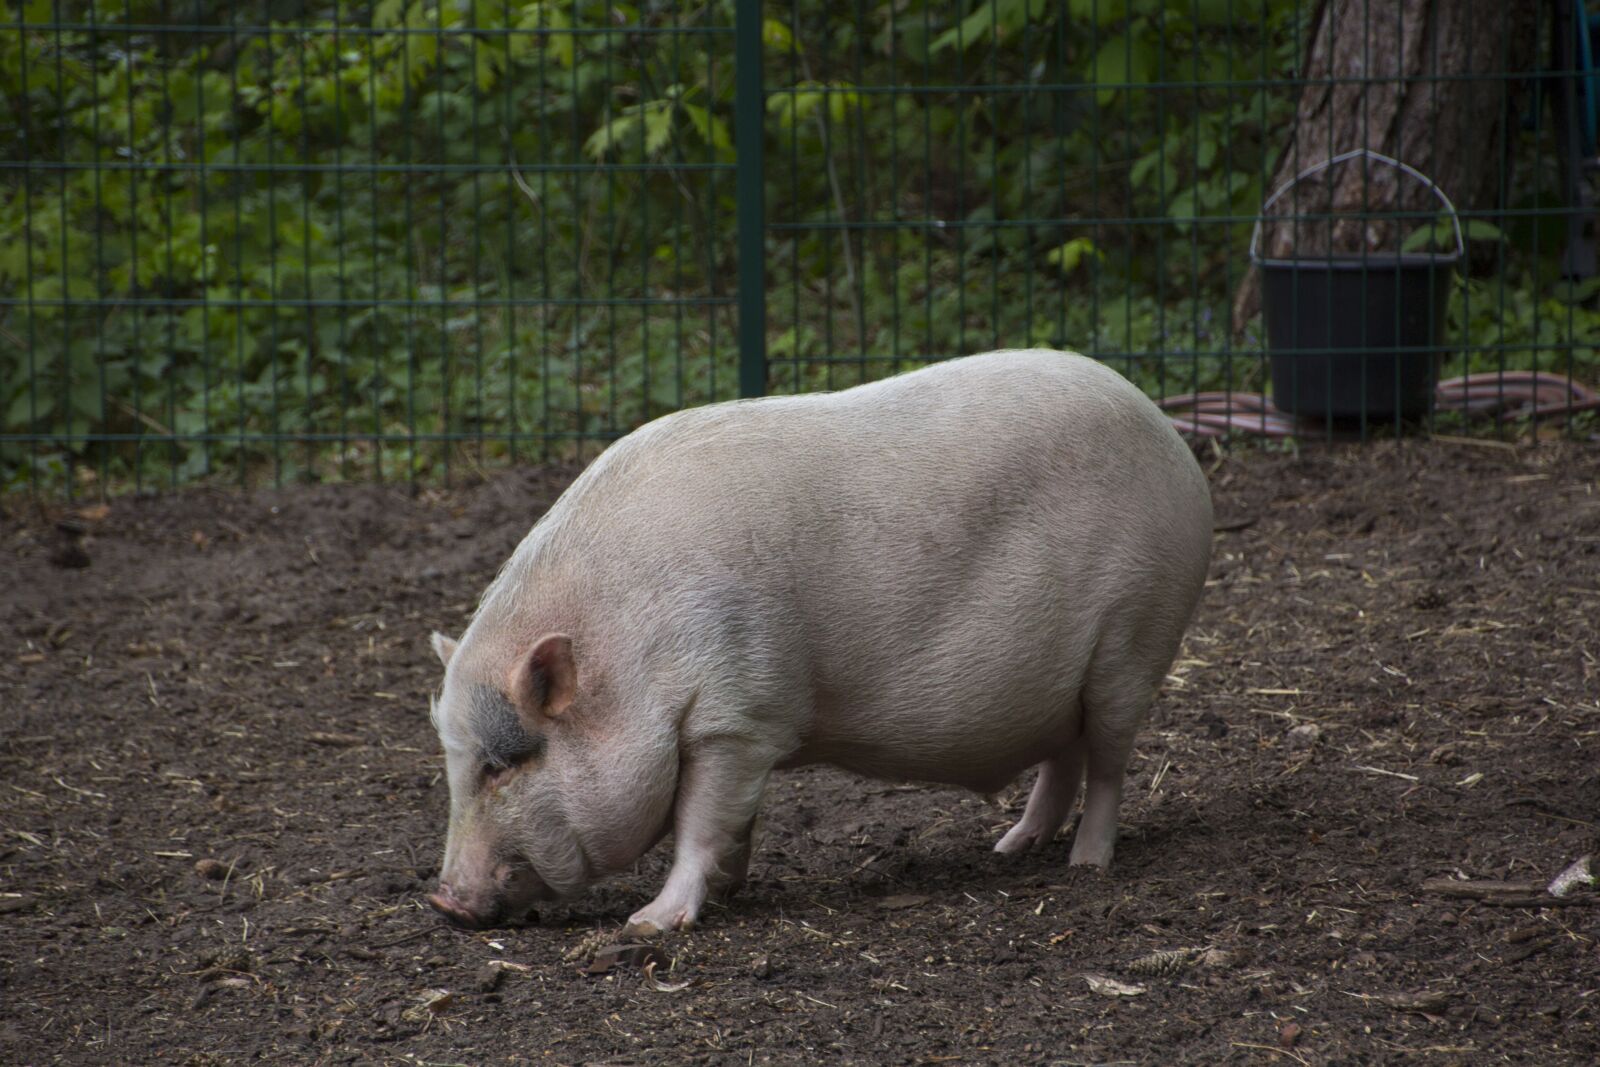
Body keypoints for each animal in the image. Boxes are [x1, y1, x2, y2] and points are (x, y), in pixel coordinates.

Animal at [425, 349, 1213, 936]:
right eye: (455, 762)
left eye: (501, 764)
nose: (443, 899)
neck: (627, 658)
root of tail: (1174, 441)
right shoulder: (738, 730)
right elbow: (734, 820)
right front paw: (731, 891)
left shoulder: (737, 716)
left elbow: (701, 822)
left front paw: (649, 923)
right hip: (1063, 680)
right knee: (1065, 757)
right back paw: (1011, 847)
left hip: (1133, 640)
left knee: (1108, 762)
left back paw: (1087, 865)